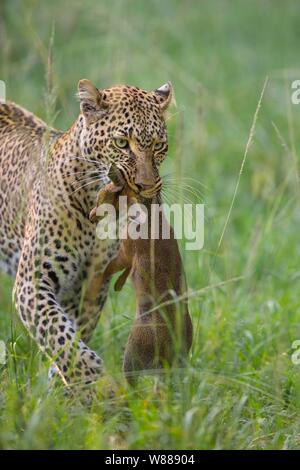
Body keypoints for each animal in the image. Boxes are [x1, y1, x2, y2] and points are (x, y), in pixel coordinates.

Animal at [0, 80, 191, 390]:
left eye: (159, 146)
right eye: (122, 143)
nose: (146, 186)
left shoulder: (89, 288)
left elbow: (72, 337)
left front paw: (63, 391)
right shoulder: (32, 282)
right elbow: (60, 336)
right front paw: (93, 384)